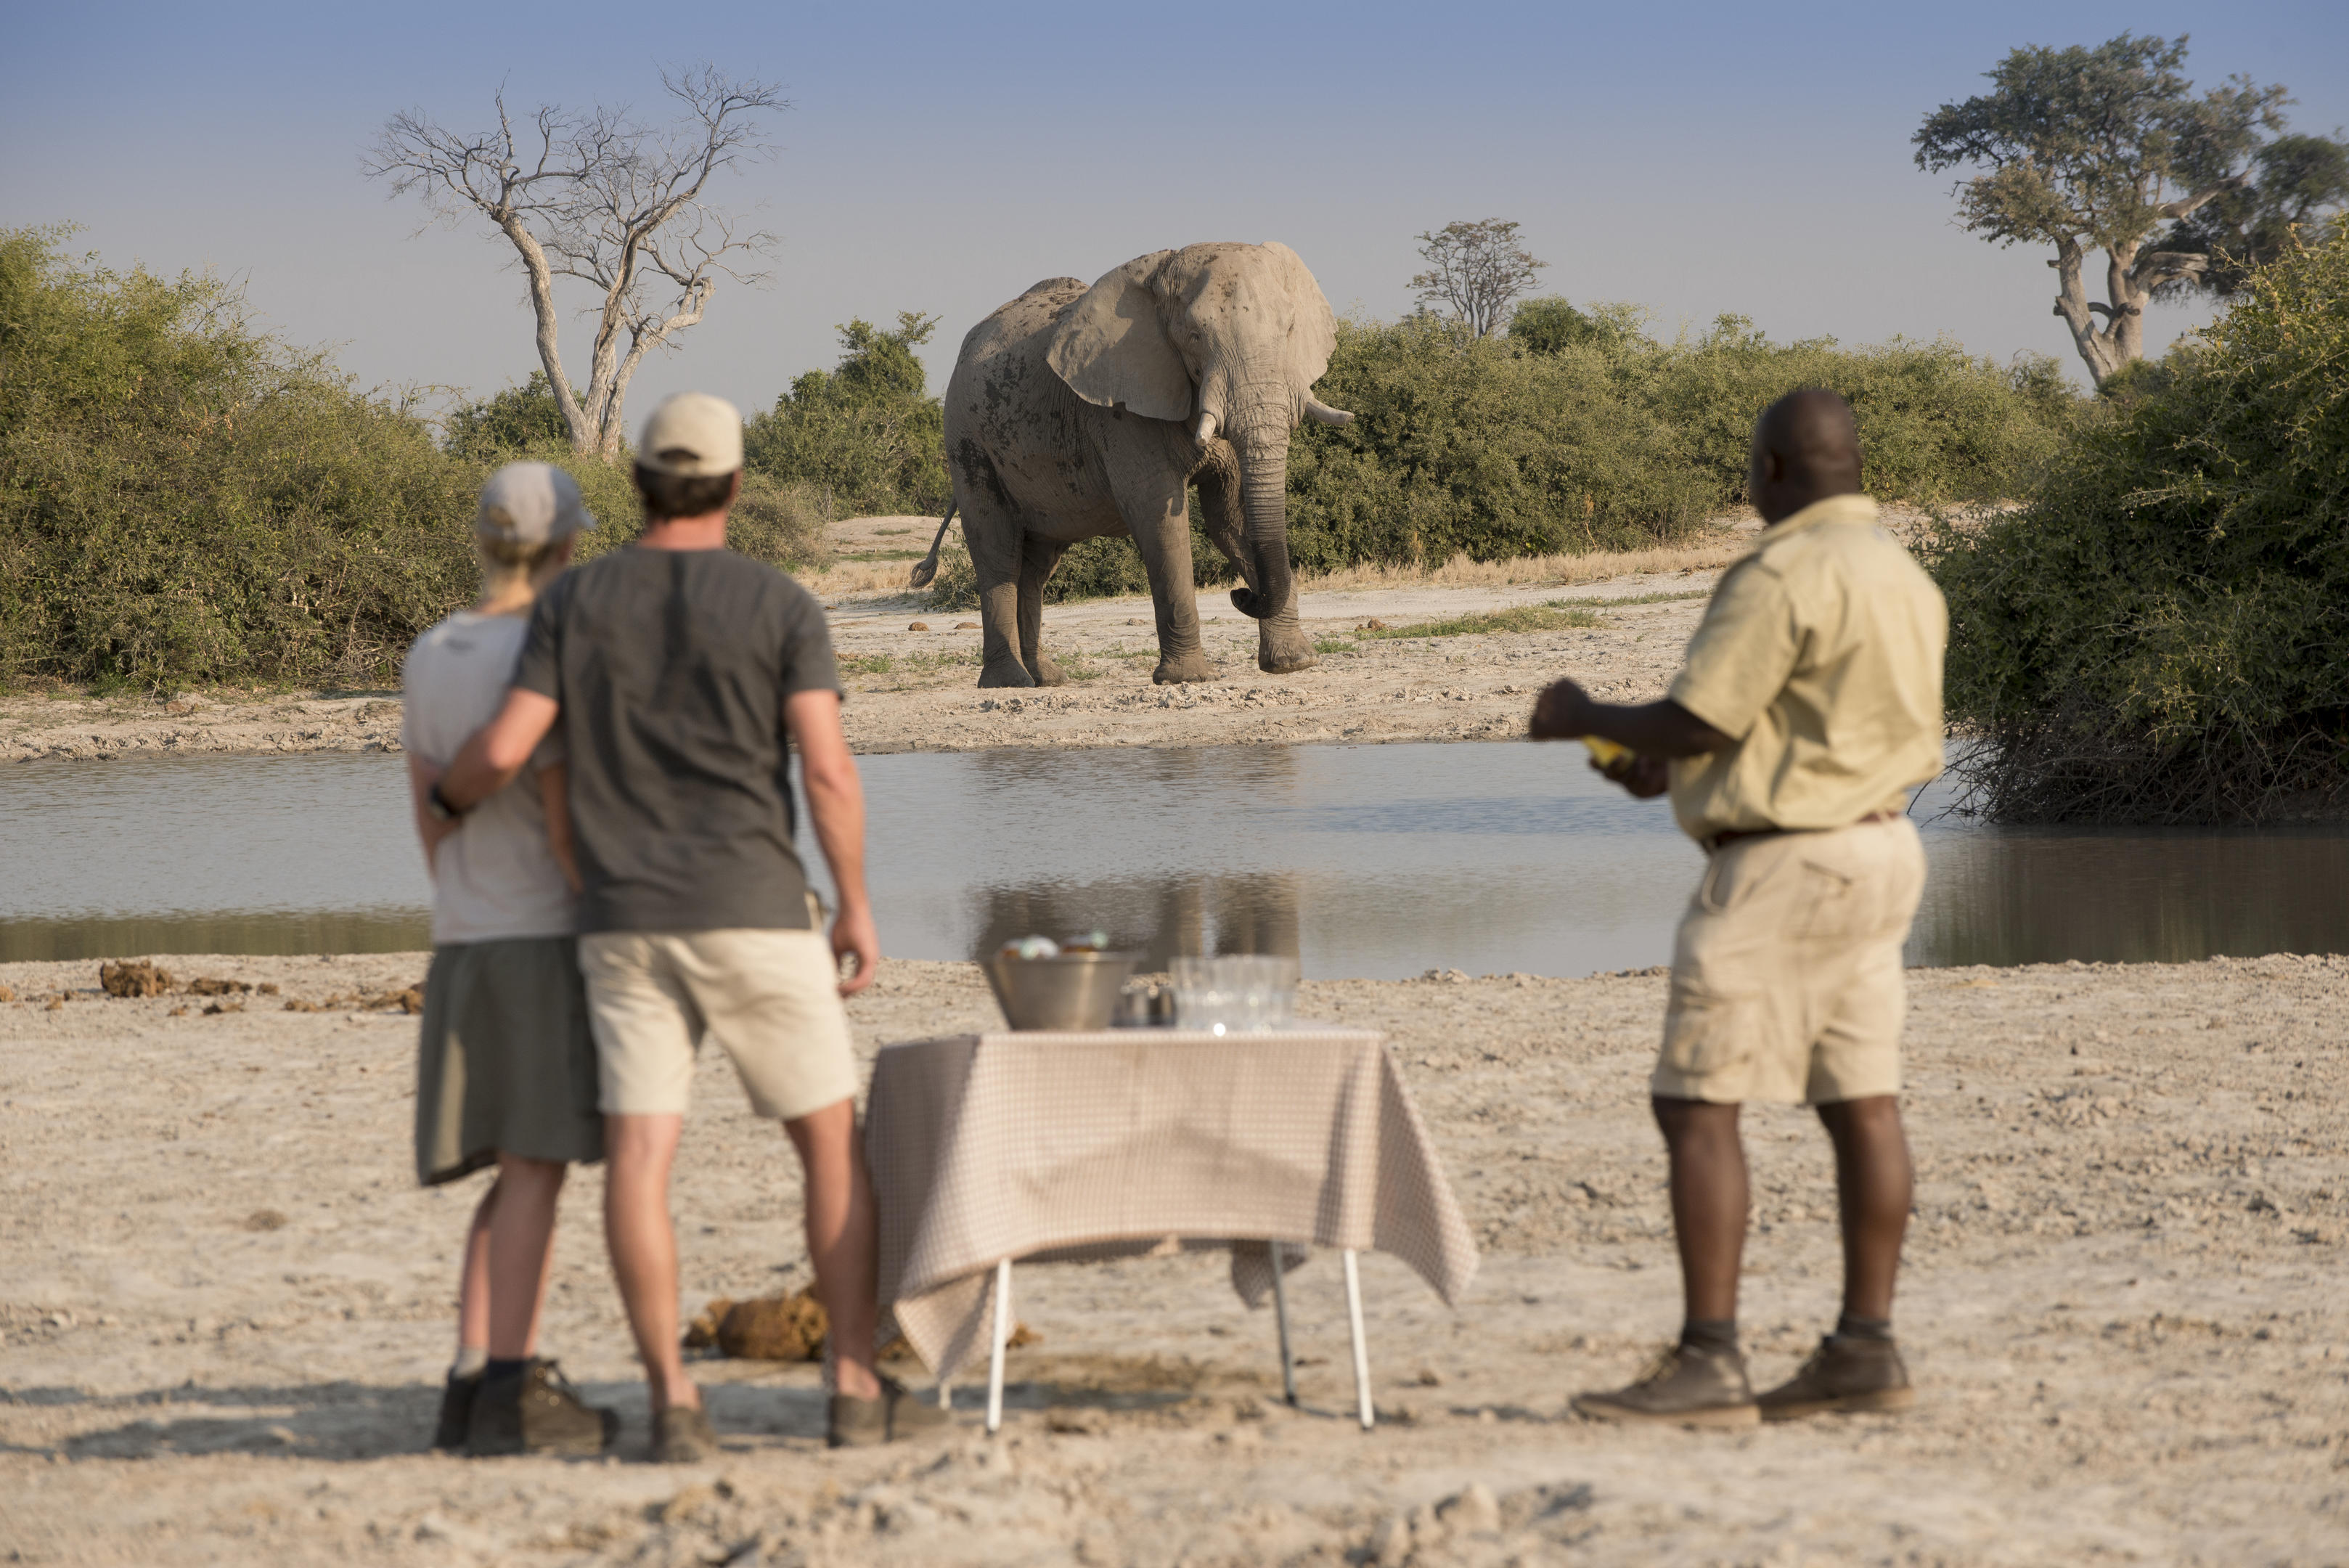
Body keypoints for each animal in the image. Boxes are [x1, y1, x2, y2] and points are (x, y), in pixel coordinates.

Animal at [916, 242, 1362, 682]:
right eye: (1195, 336)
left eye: (1289, 330)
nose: (1240, 594)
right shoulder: (1123, 410)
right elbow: (1160, 520)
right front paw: (1187, 678)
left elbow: (1229, 518)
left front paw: (1294, 663)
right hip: (967, 441)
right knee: (997, 553)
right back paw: (1010, 682)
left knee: (1037, 565)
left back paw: (1047, 678)